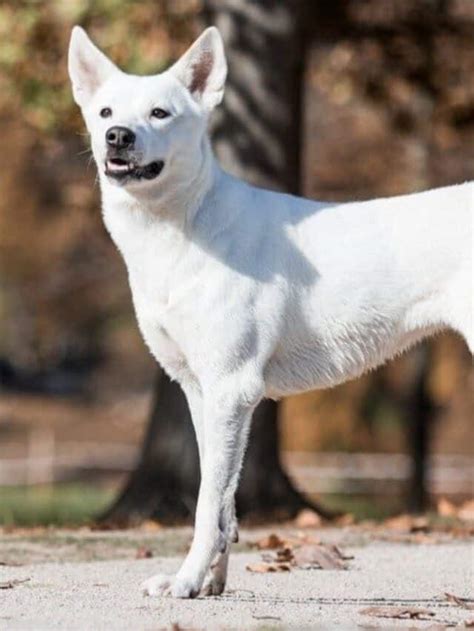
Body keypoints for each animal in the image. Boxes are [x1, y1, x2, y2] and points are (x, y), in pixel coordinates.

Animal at [68, 24, 472, 596]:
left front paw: (186, 582)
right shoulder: (202, 392)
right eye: (105, 112)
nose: (118, 137)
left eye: (160, 113)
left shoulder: (232, 388)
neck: (184, 224)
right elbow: (222, 502)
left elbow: (206, 504)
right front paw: (210, 583)